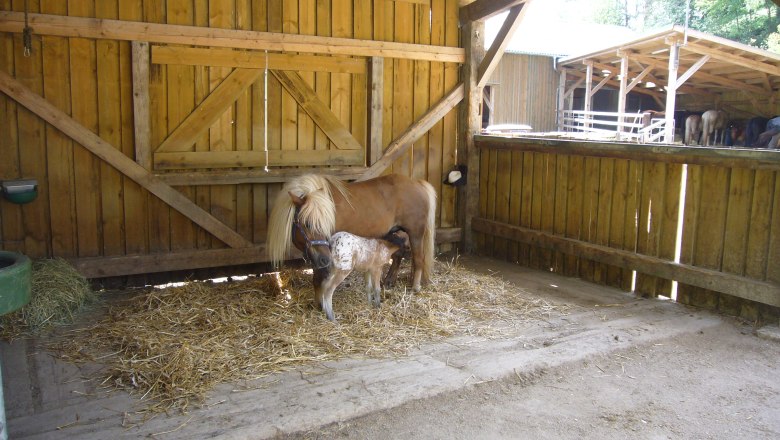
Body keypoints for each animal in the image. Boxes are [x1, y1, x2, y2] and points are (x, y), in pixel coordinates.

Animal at [266, 173, 438, 296]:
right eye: (307, 224)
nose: (323, 259)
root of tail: (417, 183)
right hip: (392, 232)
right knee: (399, 251)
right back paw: (390, 280)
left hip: (416, 233)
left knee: (418, 258)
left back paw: (415, 287)